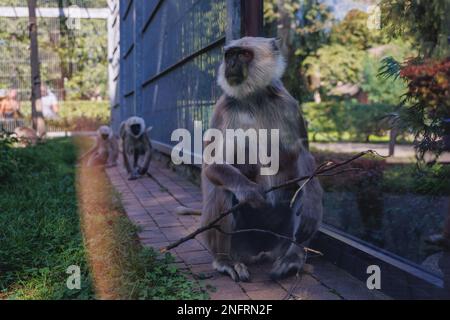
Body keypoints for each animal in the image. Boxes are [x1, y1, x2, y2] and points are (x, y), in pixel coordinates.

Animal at [201, 37, 324, 282]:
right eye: (229, 55)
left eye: (243, 54)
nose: (231, 65)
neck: (253, 99)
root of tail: (259, 252)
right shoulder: (223, 108)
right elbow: (213, 165)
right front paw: (251, 192)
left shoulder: (288, 104)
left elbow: (302, 155)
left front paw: (313, 202)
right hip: (240, 244)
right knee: (222, 189)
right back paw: (225, 262)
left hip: (279, 240)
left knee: (299, 194)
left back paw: (292, 259)